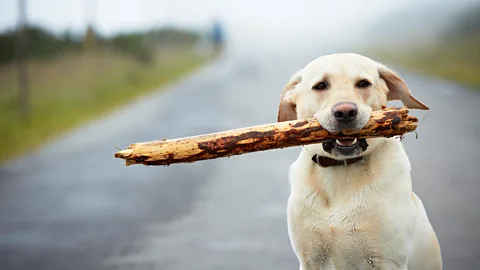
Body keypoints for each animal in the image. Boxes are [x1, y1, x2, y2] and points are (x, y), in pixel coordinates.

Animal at [278, 53, 442, 270]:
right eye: (320, 86)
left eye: (363, 83)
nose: (346, 112)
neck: (341, 170)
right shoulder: (310, 259)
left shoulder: (389, 261)